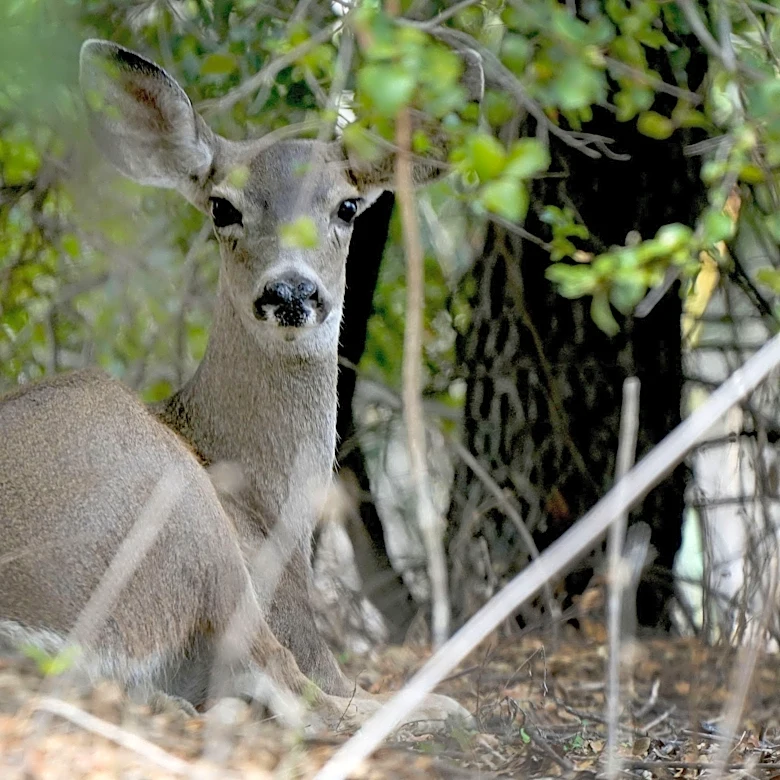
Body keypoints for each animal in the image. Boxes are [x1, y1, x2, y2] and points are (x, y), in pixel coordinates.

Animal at [0, 39, 482, 731]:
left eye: (347, 205)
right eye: (223, 206)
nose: (291, 291)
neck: (270, 506)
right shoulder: (290, 611)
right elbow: (326, 682)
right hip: (180, 516)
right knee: (302, 696)